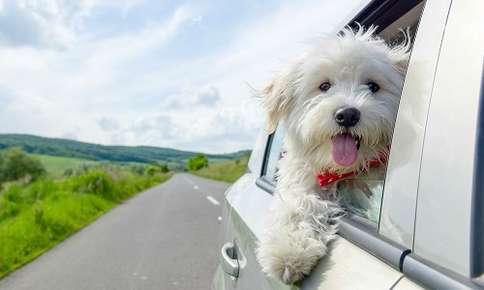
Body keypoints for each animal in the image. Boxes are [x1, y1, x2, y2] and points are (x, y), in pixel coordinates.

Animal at [255, 26, 410, 284]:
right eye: (324, 86)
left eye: (373, 86)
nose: (347, 114)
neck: (344, 171)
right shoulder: (301, 178)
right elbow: (298, 203)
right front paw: (288, 251)